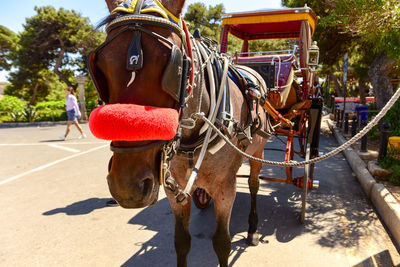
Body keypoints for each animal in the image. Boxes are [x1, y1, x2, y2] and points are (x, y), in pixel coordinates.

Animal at [89, 1, 270, 266]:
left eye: (172, 67)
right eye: (100, 67)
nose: (127, 187)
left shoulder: (226, 188)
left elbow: (222, 243)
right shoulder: (173, 189)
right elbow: (181, 241)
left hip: (258, 152)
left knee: (255, 185)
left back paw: (253, 229)